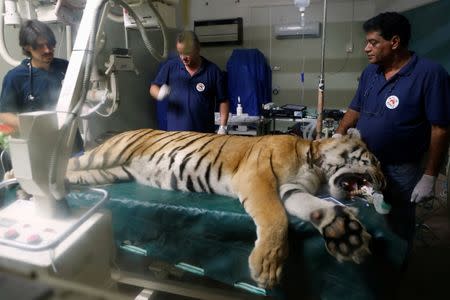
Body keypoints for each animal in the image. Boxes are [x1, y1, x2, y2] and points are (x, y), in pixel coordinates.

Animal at [65, 127, 384, 290]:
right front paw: (266, 266)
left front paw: (345, 234)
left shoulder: (291, 190)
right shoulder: (259, 177)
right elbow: (275, 217)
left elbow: (315, 208)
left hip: (107, 172)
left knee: (71, 173)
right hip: (104, 156)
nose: (384, 183)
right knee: (67, 161)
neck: (315, 166)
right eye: (374, 160)